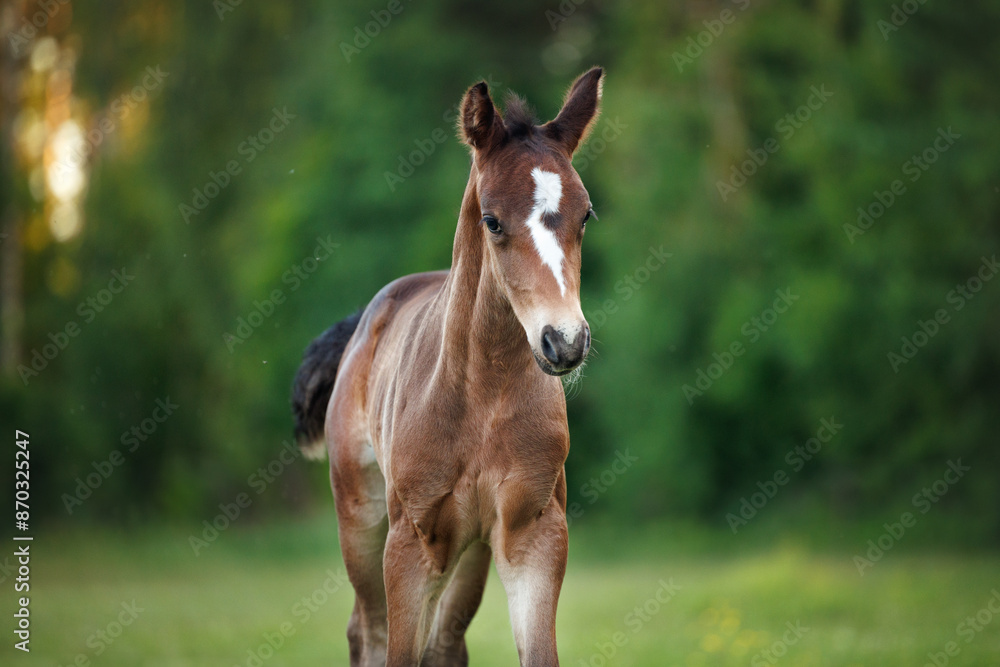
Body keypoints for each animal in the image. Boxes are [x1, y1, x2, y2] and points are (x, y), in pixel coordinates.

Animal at [292, 67, 604, 667]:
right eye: (492, 220)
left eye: (585, 215)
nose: (565, 342)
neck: (483, 395)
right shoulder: (410, 545)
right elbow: (394, 649)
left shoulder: (532, 538)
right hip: (362, 519)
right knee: (366, 631)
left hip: (469, 554)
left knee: (444, 642)